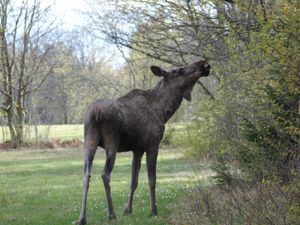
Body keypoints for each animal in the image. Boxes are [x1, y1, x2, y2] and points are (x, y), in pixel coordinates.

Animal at [76, 59, 210, 224]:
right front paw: (153, 210)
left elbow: (133, 181)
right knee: (105, 175)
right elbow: (152, 180)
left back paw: (82, 218)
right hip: (111, 142)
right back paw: (111, 214)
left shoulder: (137, 149)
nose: (204, 64)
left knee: (86, 175)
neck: (164, 112)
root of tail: (95, 114)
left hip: (89, 141)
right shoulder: (153, 144)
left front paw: (128, 209)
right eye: (178, 70)